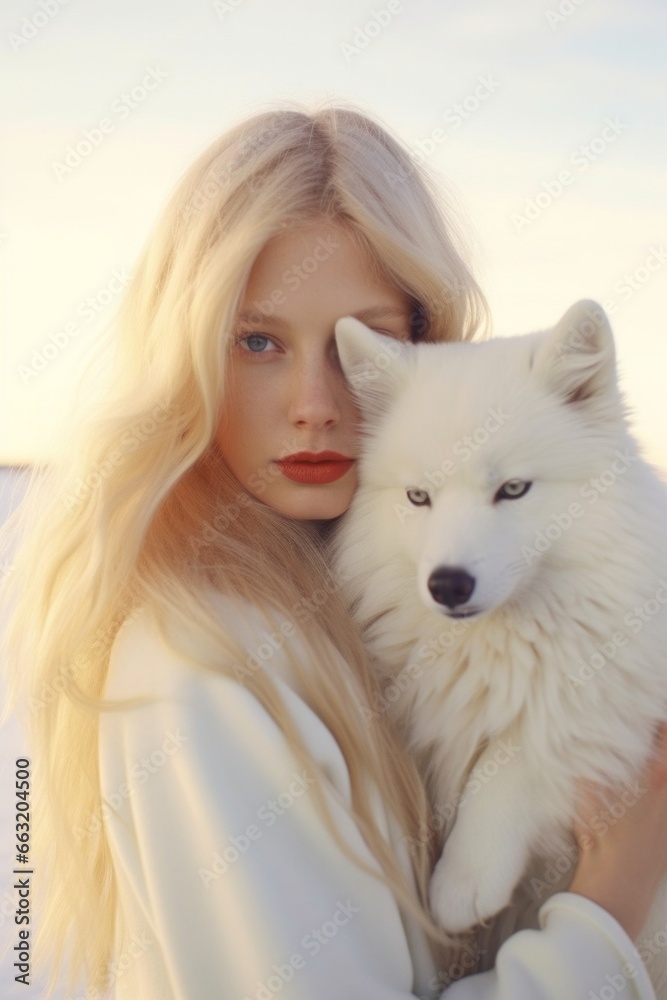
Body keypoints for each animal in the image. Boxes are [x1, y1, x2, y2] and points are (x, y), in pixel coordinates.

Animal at [332, 300, 667, 988]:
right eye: (418, 497)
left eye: (513, 490)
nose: (448, 584)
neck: (500, 640)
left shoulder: (616, 697)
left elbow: (516, 753)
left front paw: (464, 877)